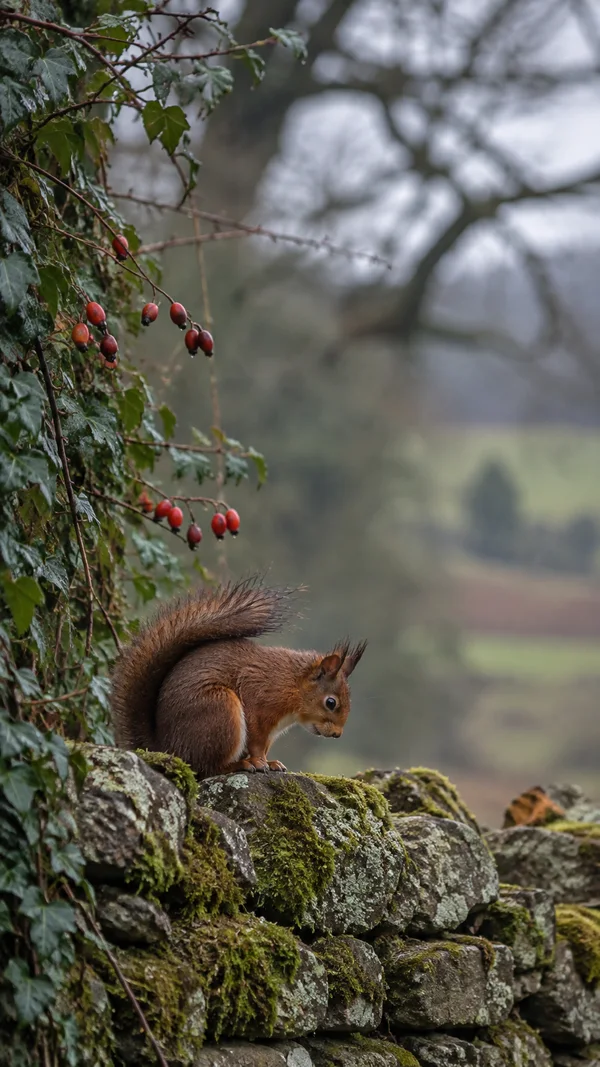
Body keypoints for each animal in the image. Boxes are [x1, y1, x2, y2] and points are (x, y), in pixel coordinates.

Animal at [110, 577, 366, 778]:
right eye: (331, 702)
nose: (337, 735)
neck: (293, 684)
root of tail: (166, 748)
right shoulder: (258, 700)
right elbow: (256, 741)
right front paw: (260, 762)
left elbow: (264, 747)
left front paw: (271, 762)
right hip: (220, 711)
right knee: (206, 767)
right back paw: (240, 764)